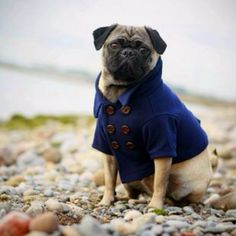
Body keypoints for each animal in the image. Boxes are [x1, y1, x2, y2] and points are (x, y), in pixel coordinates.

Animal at [91, 24, 213, 208]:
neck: (123, 91)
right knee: (133, 192)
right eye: (114, 45)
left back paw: (164, 201)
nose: (128, 52)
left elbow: (160, 183)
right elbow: (109, 179)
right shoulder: (108, 147)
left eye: (143, 49)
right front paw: (106, 200)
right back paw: (125, 198)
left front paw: (155, 206)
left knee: (174, 195)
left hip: (188, 185)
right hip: (129, 181)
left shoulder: (162, 142)